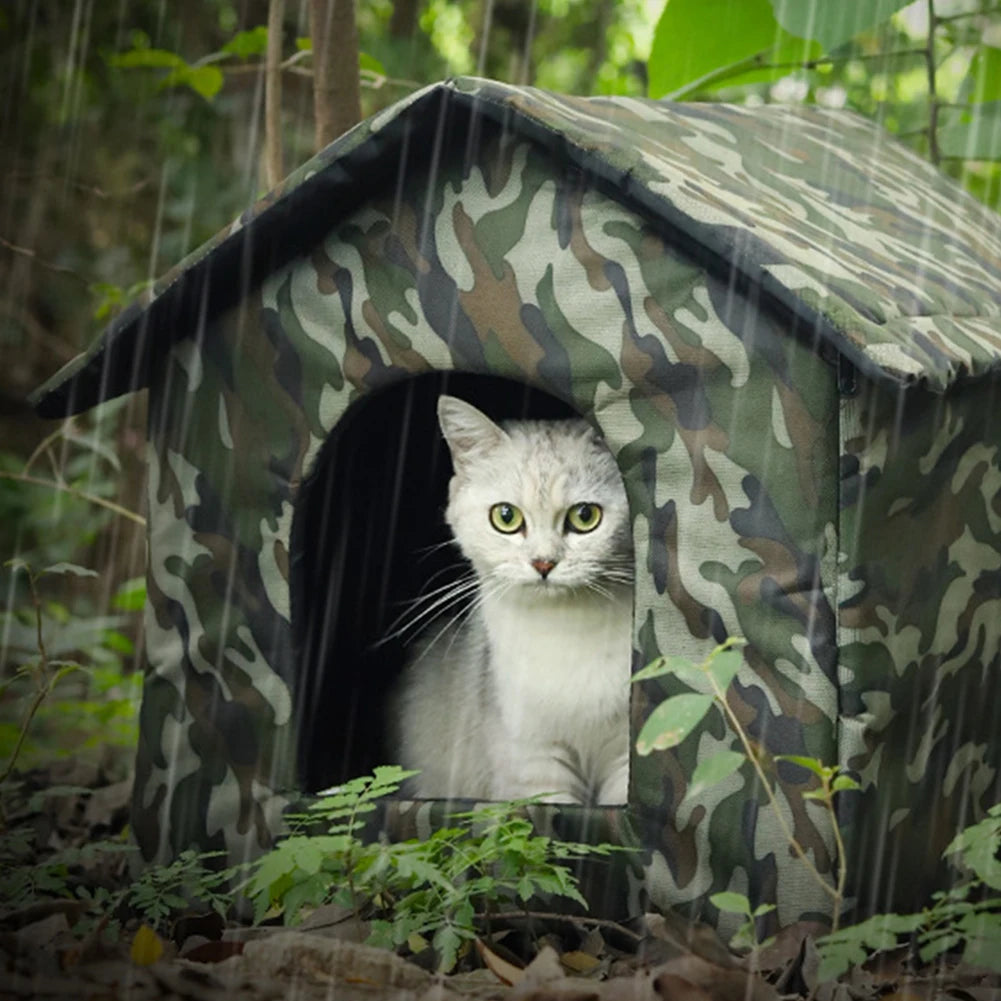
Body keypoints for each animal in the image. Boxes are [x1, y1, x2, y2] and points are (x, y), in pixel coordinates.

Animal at [388, 392, 632, 804]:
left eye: (585, 516)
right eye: (506, 517)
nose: (543, 563)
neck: (565, 627)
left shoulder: (628, 753)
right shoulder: (532, 759)